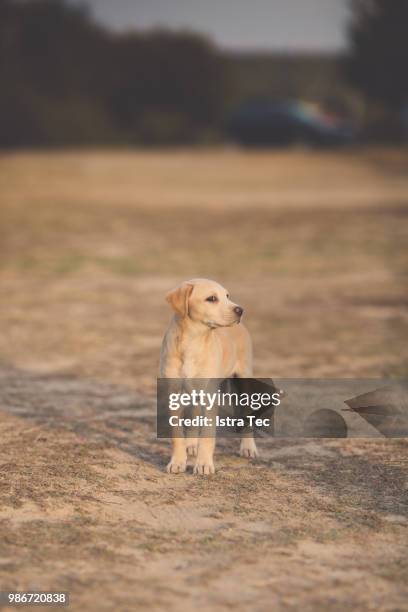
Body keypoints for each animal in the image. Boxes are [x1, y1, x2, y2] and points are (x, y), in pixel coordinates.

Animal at [160, 278, 258, 474]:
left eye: (227, 296)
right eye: (211, 298)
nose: (240, 310)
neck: (193, 341)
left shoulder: (210, 396)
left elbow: (207, 434)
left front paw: (204, 464)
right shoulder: (174, 394)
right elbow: (177, 434)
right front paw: (177, 462)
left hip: (244, 379)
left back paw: (248, 448)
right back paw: (191, 444)